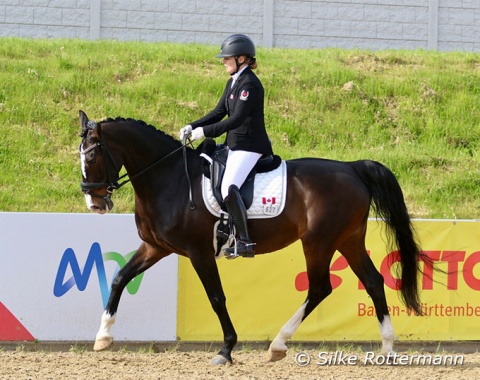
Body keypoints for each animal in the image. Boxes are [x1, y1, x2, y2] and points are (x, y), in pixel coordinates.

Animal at [79, 110, 432, 366]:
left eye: (92, 156)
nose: (95, 203)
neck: (170, 179)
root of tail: (352, 168)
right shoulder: (155, 247)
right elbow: (120, 277)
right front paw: (102, 336)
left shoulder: (198, 251)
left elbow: (216, 297)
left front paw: (226, 350)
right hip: (348, 240)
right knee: (372, 281)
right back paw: (387, 348)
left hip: (319, 242)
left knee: (320, 288)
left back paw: (278, 343)